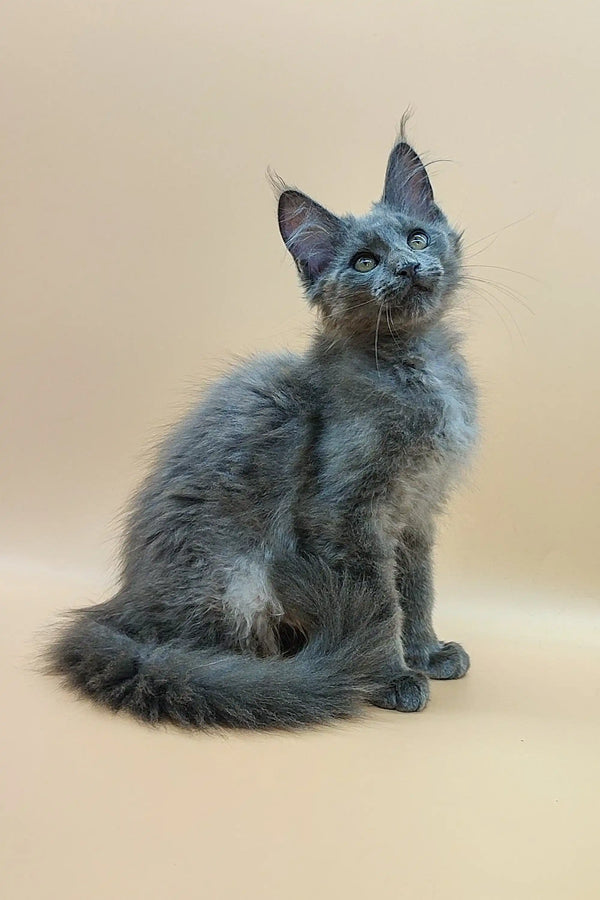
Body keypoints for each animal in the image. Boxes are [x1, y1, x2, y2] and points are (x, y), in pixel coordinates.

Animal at [45, 128, 478, 732]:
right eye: (364, 261)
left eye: (418, 238)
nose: (406, 268)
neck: (416, 367)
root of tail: (122, 608)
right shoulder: (344, 515)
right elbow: (378, 601)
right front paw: (392, 676)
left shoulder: (416, 513)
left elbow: (416, 591)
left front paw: (427, 652)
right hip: (236, 583)